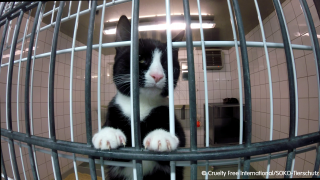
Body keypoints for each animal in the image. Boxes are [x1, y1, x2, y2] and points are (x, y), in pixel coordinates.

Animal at [91, 15, 186, 180]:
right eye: (140, 59)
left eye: (166, 63)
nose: (157, 75)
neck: (141, 103)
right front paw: (108, 133)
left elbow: (180, 137)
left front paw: (161, 135)